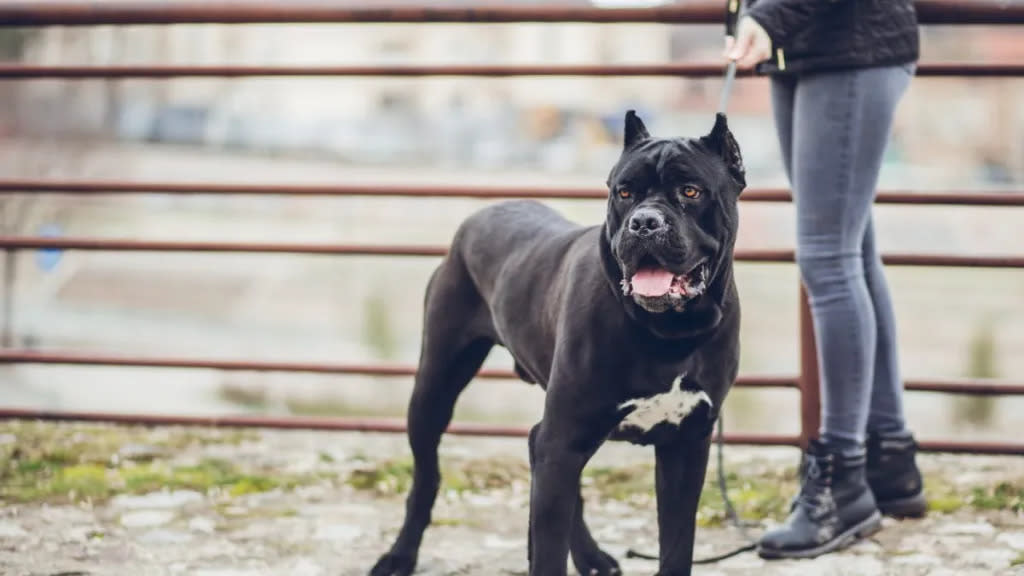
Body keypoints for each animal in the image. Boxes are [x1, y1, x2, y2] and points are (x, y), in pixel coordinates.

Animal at [368, 109, 745, 569]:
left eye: (690, 191)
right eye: (624, 192)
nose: (644, 222)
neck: (669, 332)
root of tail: (483, 213)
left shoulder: (686, 446)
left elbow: (676, 546)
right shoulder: (563, 440)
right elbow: (549, 547)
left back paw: (591, 557)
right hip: (435, 389)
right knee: (426, 479)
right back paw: (399, 555)